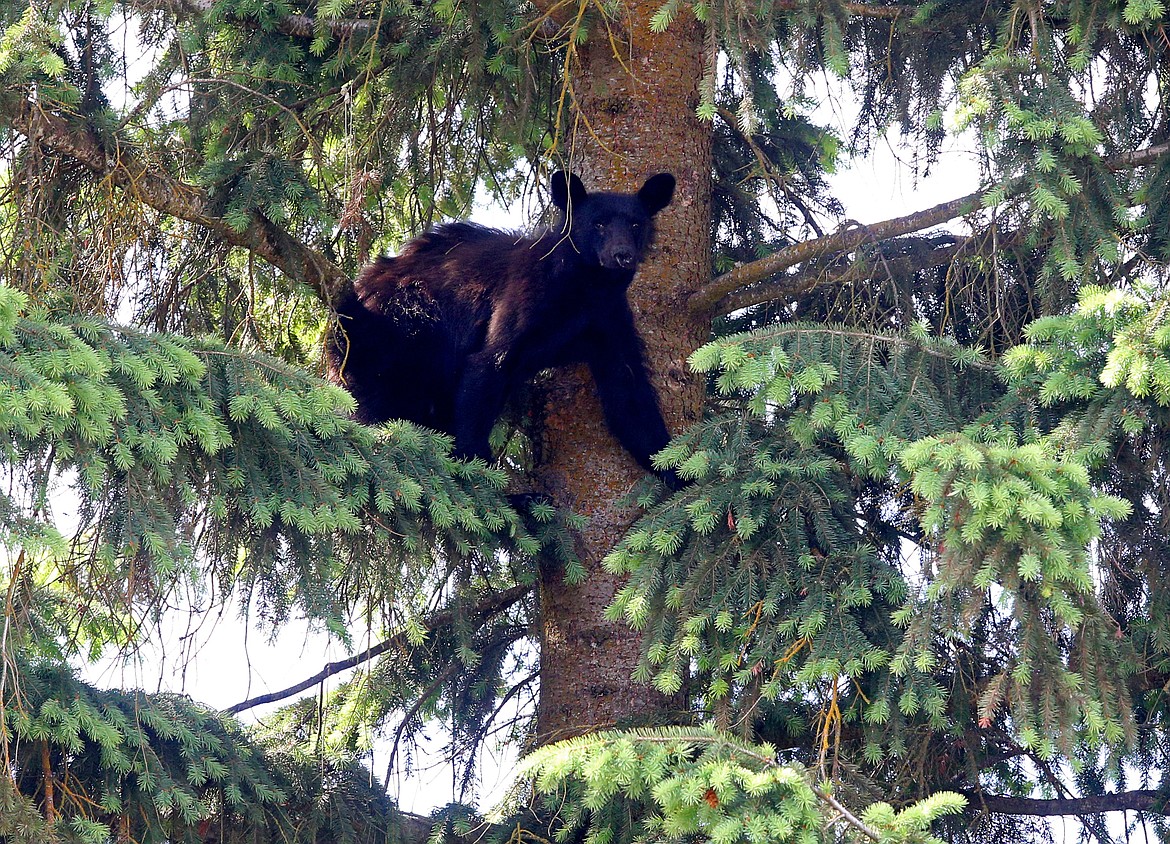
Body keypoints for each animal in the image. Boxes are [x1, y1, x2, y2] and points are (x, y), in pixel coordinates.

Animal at [327, 169, 678, 479]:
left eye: (636, 223)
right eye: (599, 223)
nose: (622, 255)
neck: (585, 289)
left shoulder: (608, 318)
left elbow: (628, 391)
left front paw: (674, 469)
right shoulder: (525, 296)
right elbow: (487, 365)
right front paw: (479, 470)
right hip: (400, 330)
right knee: (384, 405)